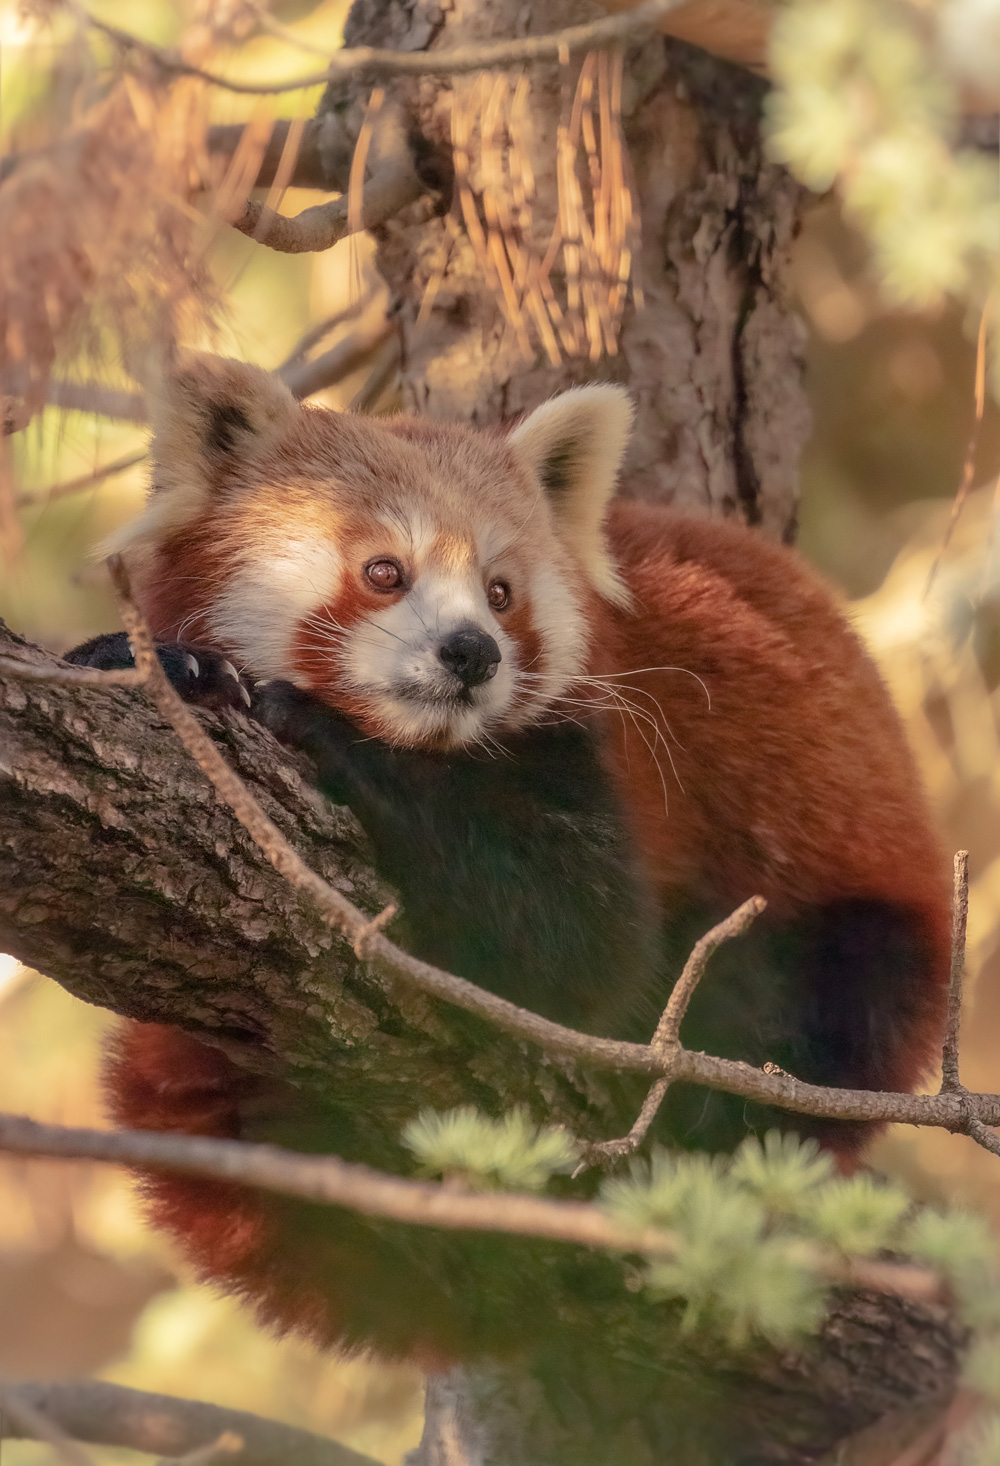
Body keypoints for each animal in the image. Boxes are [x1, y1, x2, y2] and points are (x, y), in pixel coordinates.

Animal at [66, 354, 944, 1360]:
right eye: (384, 571)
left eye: (499, 592)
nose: (471, 653)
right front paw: (173, 669)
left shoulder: (600, 751)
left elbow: (574, 939)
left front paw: (314, 723)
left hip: (853, 906)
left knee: (819, 1001)